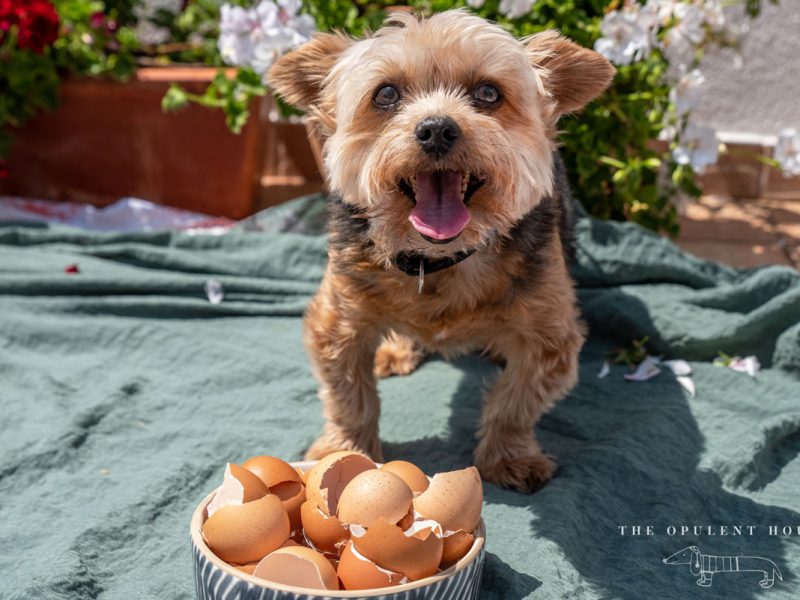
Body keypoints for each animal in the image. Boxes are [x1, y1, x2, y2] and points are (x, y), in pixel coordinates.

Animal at [268, 9, 612, 490]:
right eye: (386, 94)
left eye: (489, 92)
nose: (436, 129)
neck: (438, 260)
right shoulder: (337, 321)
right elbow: (348, 395)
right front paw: (345, 449)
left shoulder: (551, 338)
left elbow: (516, 402)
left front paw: (510, 457)